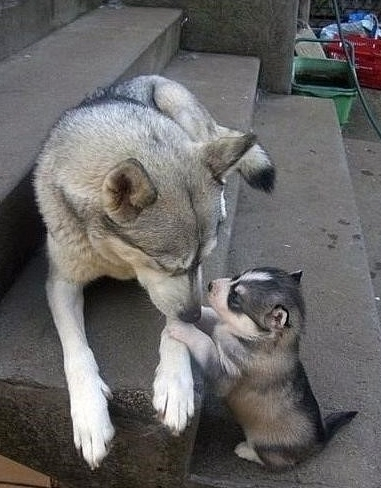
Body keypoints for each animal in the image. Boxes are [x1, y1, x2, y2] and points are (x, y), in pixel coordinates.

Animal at [33, 74, 274, 468]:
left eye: (200, 260)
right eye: (165, 265)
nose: (195, 315)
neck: (115, 257)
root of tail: (150, 76)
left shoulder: (190, 283)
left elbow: (174, 325)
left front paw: (175, 383)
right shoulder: (62, 283)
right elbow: (77, 350)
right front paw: (90, 414)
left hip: (183, 111)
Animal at [168, 268, 356, 470]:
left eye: (235, 299)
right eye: (236, 277)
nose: (210, 284)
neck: (259, 339)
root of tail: (320, 438)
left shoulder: (225, 377)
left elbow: (206, 344)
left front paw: (184, 329)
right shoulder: (222, 325)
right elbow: (212, 316)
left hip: (266, 444)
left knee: (273, 460)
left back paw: (246, 451)